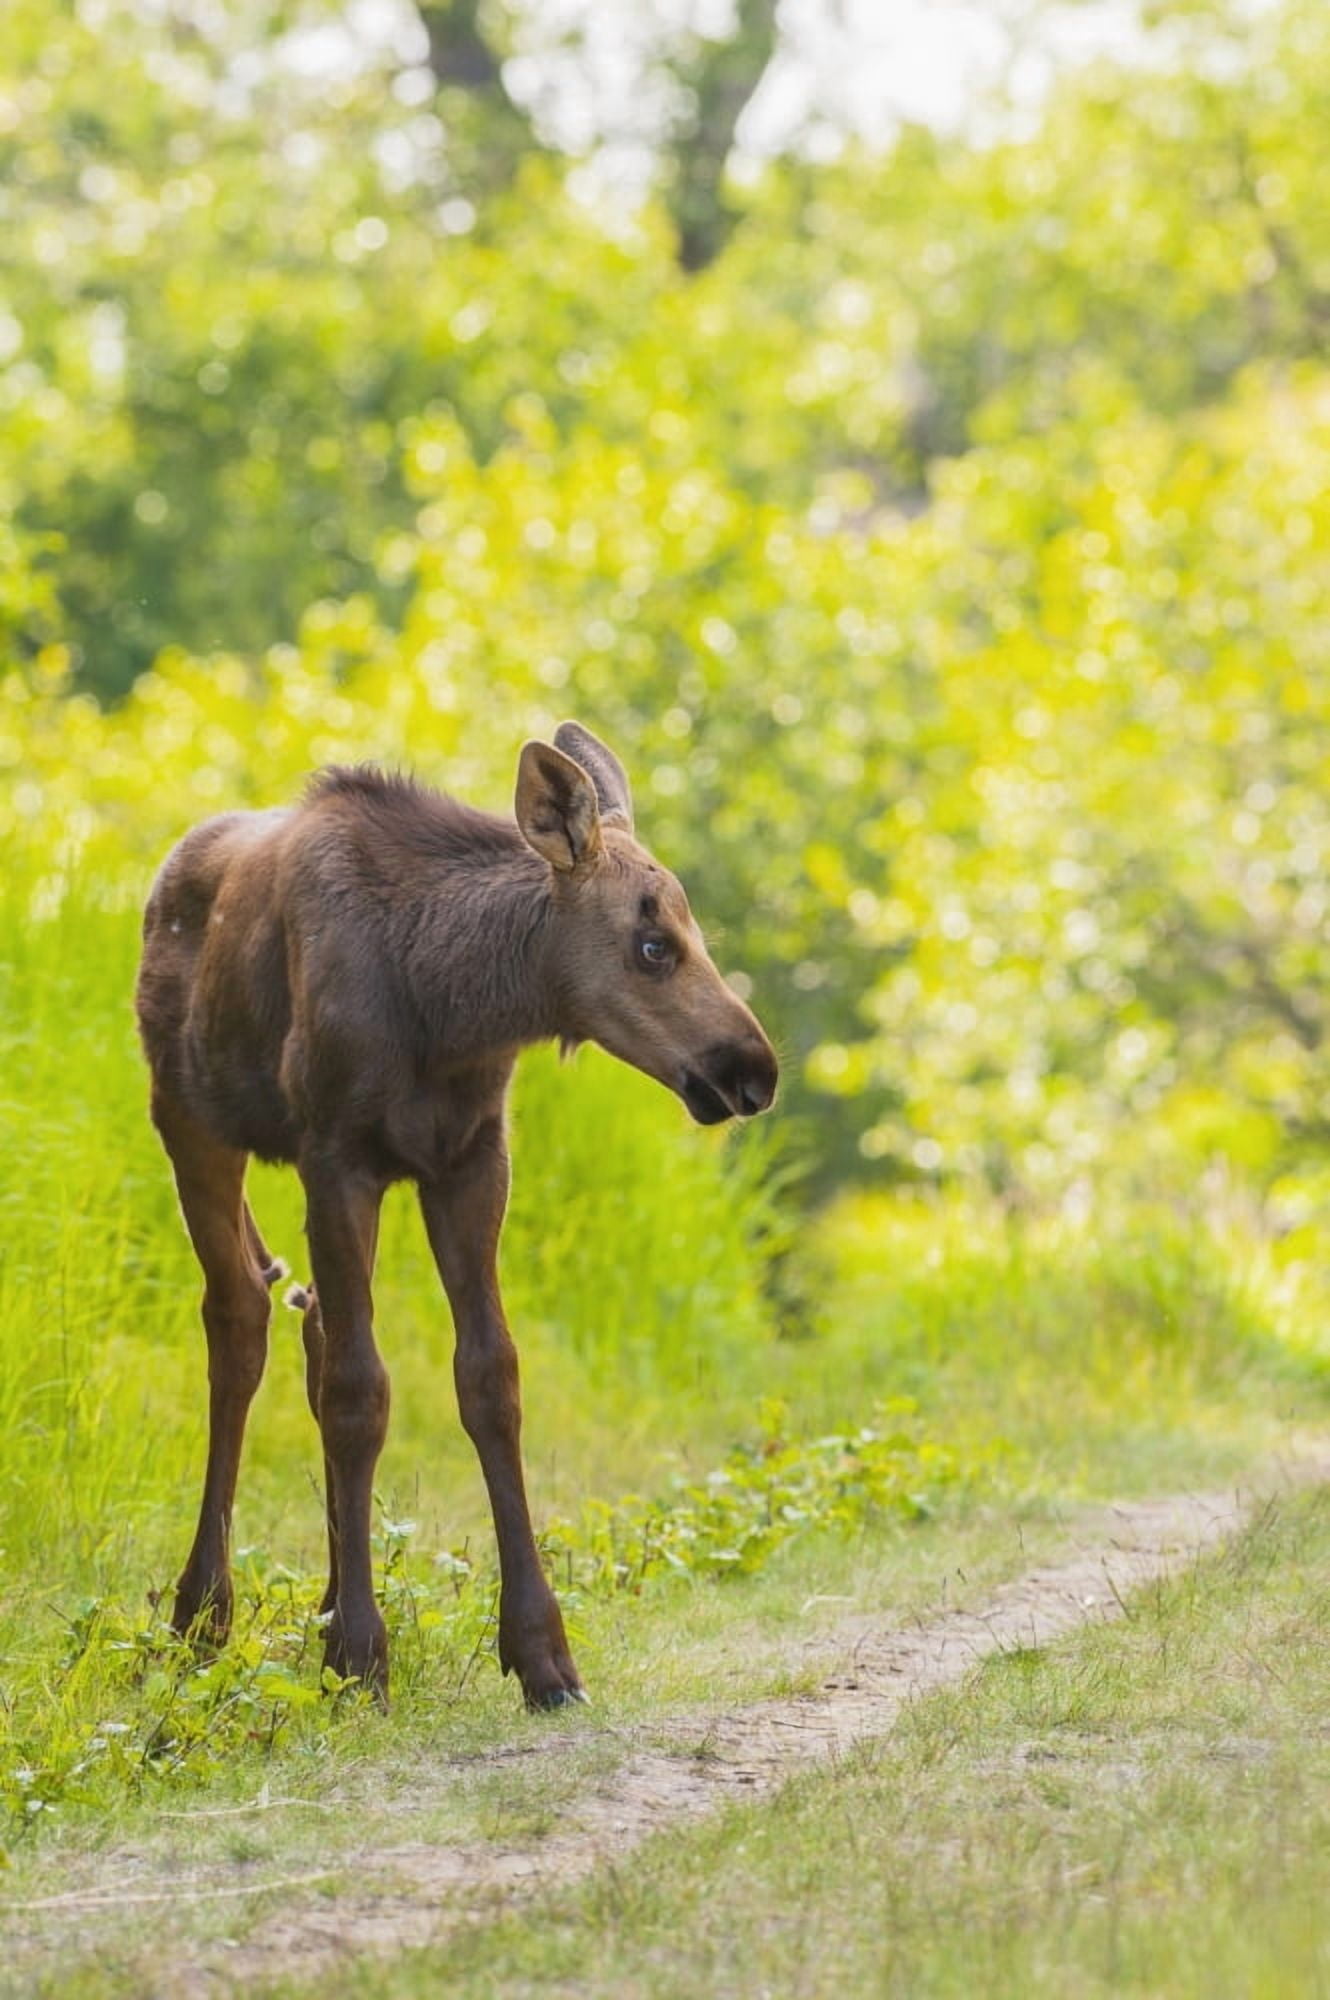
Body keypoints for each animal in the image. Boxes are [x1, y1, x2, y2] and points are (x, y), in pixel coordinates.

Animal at [135, 723, 778, 1709]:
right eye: (652, 944)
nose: (755, 1070)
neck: (452, 1007)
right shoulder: (338, 1156)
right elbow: (363, 1392)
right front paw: (360, 1658)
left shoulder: (472, 1160)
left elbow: (489, 1379)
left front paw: (541, 1652)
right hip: (190, 1120)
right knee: (240, 1317)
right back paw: (202, 1615)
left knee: (307, 1318)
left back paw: (318, 1598)